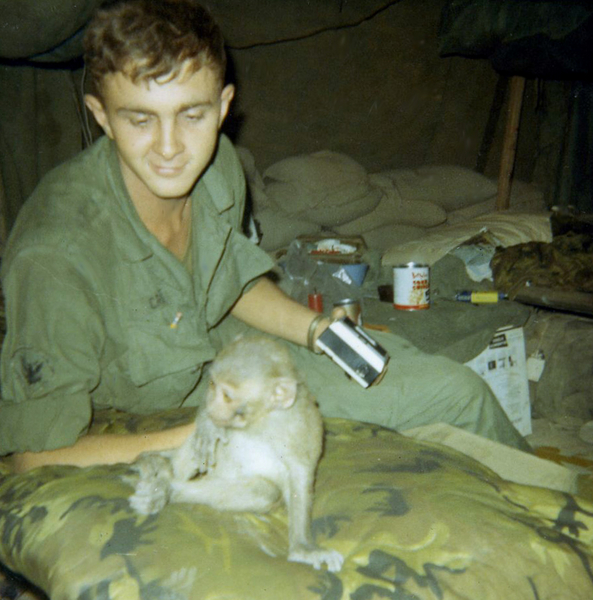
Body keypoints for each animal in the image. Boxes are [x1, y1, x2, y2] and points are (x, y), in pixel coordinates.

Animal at [127, 336, 344, 576]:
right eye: (212, 384)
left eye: (227, 396)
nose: (212, 406)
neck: (262, 420)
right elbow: (207, 433)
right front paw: (208, 424)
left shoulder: (302, 428)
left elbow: (299, 480)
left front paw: (303, 548)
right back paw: (162, 468)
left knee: (266, 492)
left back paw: (167, 490)